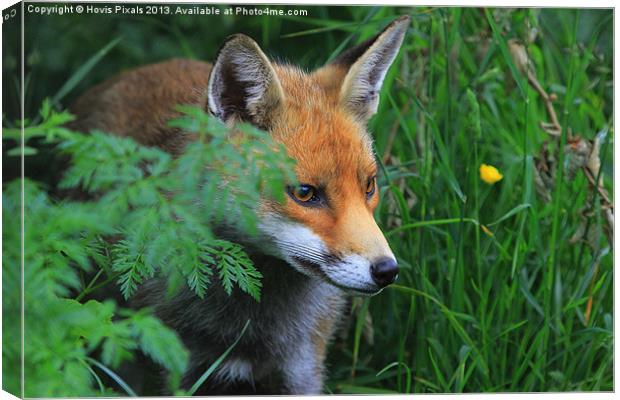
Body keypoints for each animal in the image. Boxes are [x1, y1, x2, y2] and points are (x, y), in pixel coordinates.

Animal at [68, 14, 410, 394]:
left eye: (369, 186)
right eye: (305, 193)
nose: (387, 270)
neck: (250, 323)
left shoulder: (302, 370)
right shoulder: (171, 368)